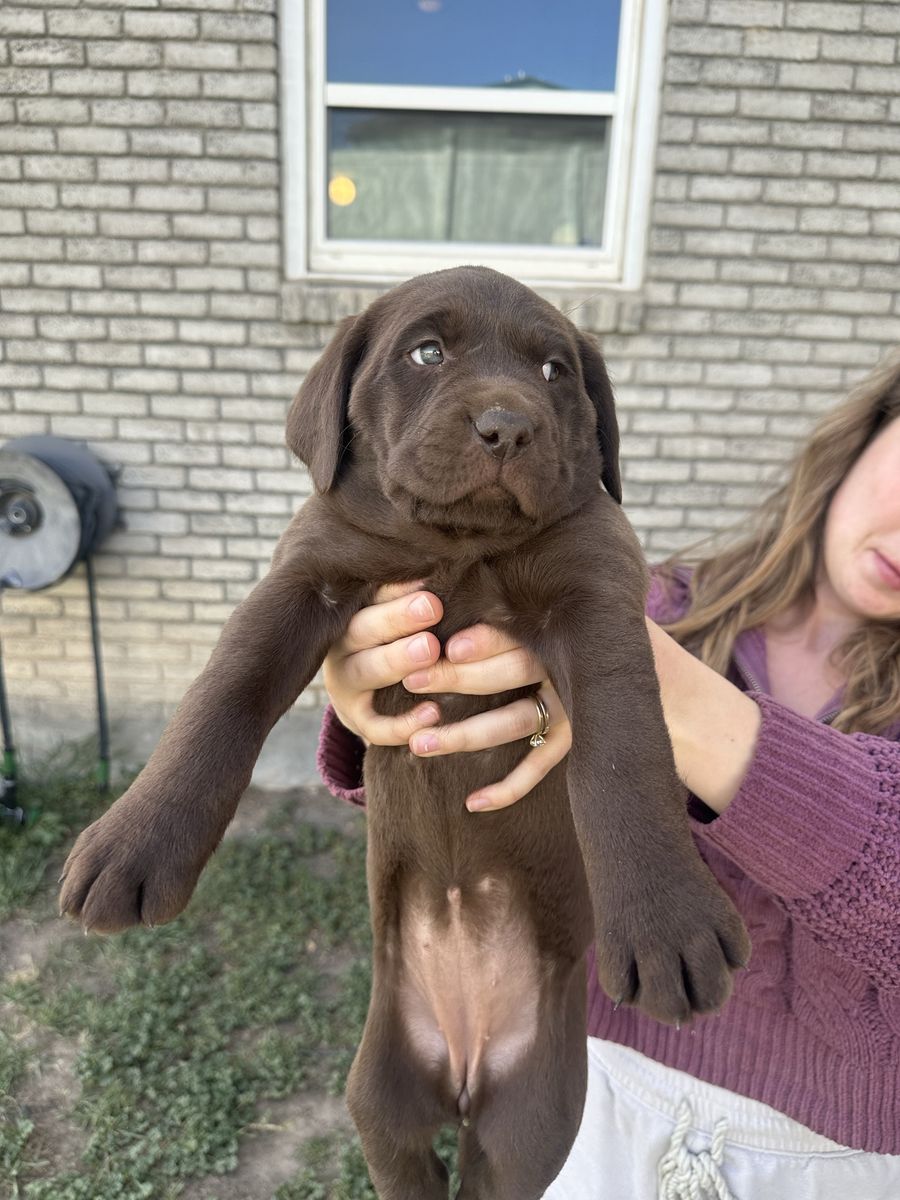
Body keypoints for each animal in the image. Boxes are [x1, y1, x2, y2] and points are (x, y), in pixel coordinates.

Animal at [60, 266, 750, 1199]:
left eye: (555, 372)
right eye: (427, 354)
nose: (510, 425)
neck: (454, 548)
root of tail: (465, 1070)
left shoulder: (599, 587)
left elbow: (624, 744)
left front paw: (666, 921)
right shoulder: (304, 575)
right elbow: (222, 694)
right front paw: (134, 842)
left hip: (532, 1123)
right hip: (379, 1096)